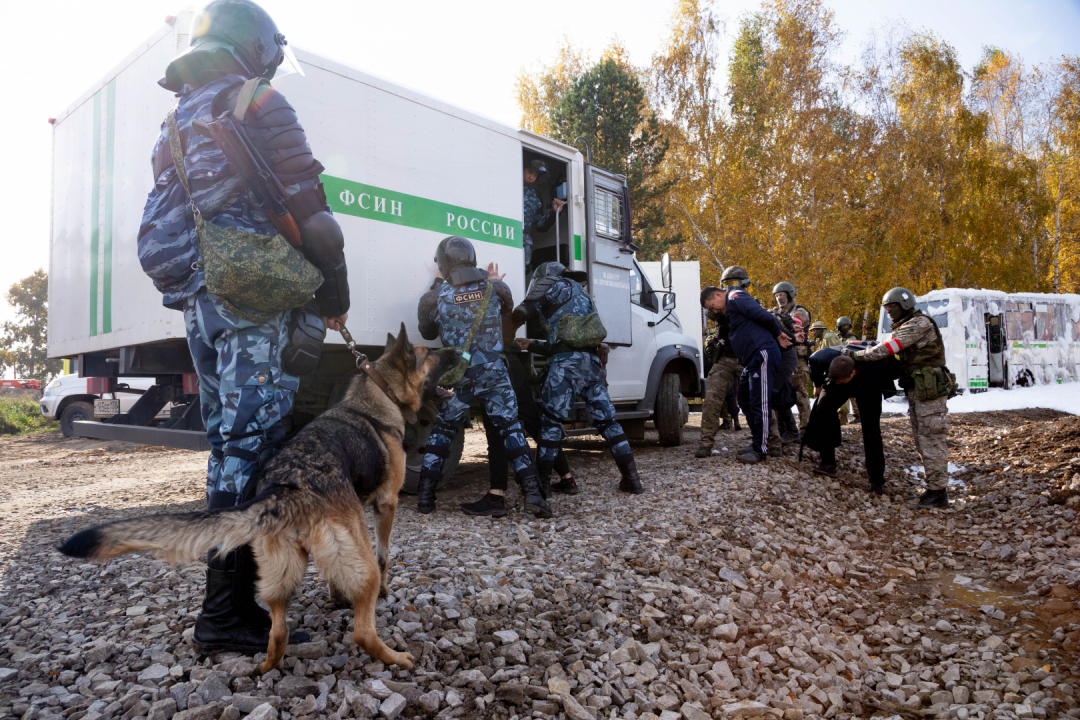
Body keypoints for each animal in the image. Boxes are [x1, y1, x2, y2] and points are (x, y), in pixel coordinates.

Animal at [59, 325, 455, 677]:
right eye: (428, 353)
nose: (455, 351)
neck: (378, 392)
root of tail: (288, 487)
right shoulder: (385, 506)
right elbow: (385, 555)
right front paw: (384, 592)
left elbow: (334, 575)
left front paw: (337, 595)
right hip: (351, 566)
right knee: (362, 631)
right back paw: (397, 658)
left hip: (280, 572)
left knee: (278, 631)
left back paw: (265, 665)